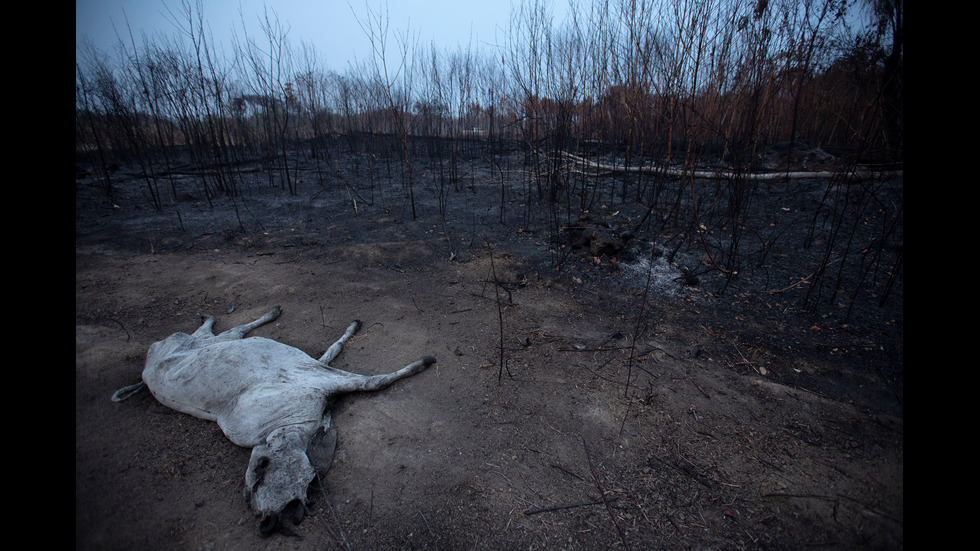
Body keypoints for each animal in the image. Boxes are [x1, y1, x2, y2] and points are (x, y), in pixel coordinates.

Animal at [112, 306, 436, 536]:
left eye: (260, 482)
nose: (265, 525)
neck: (289, 423)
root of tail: (147, 364)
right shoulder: (316, 373)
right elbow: (354, 366)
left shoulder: (315, 372)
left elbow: (356, 368)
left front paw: (418, 361)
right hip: (191, 343)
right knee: (222, 332)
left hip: (193, 342)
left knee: (225, 331)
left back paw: (238, 314)